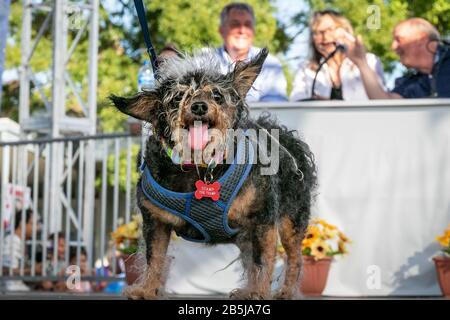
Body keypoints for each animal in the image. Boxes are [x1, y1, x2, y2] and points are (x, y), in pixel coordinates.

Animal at [110, 48, 316, 300]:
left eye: (217, 95)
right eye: (177, 98)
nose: (199, 106)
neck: (199, 166)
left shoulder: (263, 219)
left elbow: (262, 261)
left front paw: (258, 292)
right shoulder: (155, 222)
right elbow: (154, 258)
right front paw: (147, 289)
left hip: (291, 220)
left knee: (294, 259)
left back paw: (284, 291)